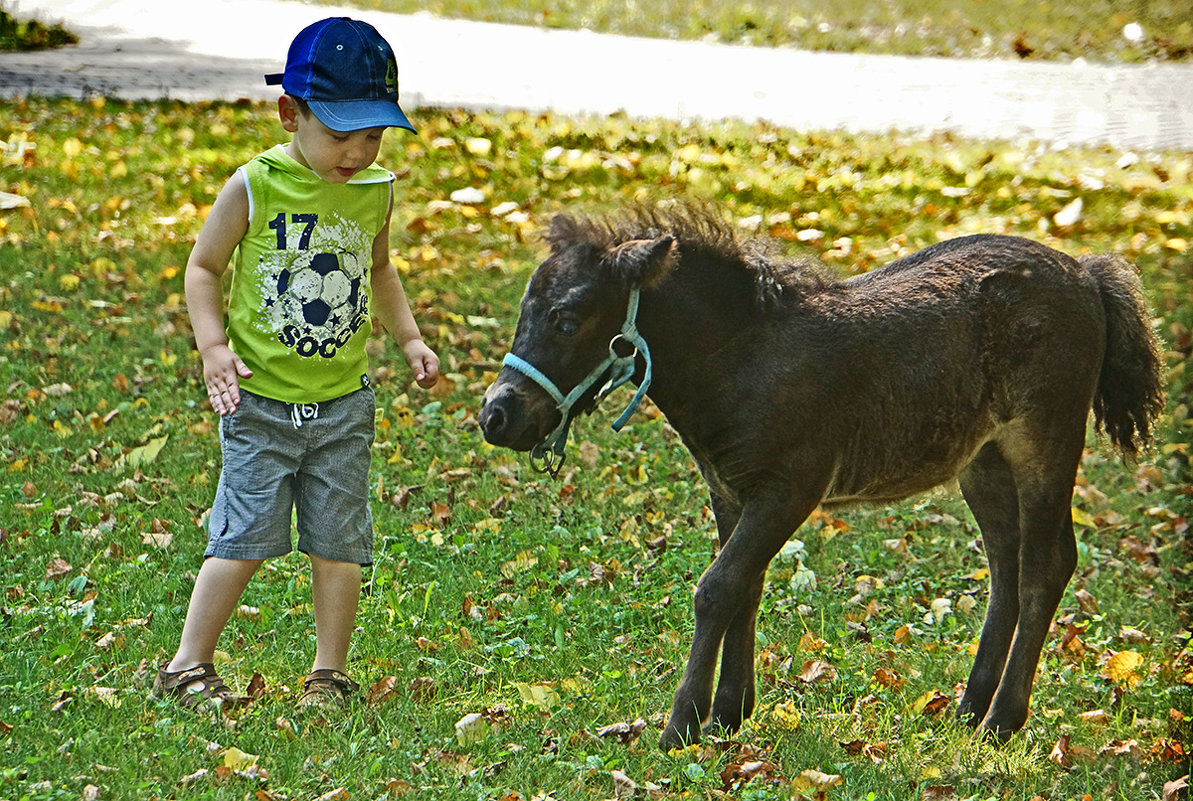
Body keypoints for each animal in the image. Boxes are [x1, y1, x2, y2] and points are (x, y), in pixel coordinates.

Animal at [477, 201, 1164, 754]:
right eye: (524, 310)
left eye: (567, 319)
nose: (496, 415)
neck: (744, 360)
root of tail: (1085, 273)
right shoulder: (730, 491)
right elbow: (745, 586)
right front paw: (728, 715)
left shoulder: (790, 489)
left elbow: (717, 587)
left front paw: (682, 726)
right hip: (984, 461)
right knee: (1006, 566)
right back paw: (970, 709)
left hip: (1045, 440)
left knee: (1047, 563)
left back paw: (1002, 721)